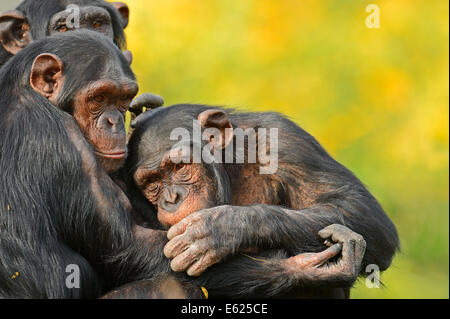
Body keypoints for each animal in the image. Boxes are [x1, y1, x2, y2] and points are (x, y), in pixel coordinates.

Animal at [0, 30, 366, 300]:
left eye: (122, 99)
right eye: (99, 98)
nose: (115, 122)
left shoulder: (279, 139)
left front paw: (224, 229)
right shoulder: (63, 140)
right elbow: (137, 248)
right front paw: (310, 269)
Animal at [122, 105, 398, 300]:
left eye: (180, 166)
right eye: (152, 183)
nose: (171, 199)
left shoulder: (287, 141)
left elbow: (360, 210)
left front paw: (222, 227)